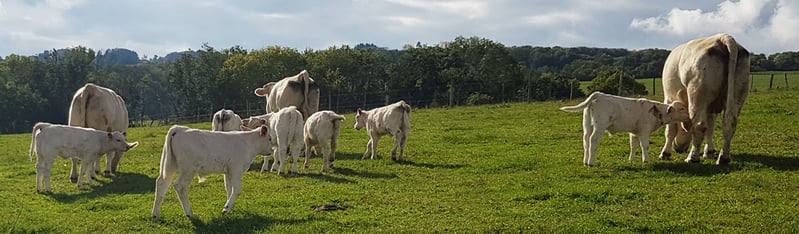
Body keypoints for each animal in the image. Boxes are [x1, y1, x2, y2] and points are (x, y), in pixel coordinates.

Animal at [560, 91, 692, 166]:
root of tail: (598, 94)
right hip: (599, 126)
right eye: (681, 108)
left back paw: (585, 161)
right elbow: (645, 145)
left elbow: (633, 145)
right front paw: (645, 160)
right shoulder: (644, 131)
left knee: (586, 141)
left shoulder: (634, 132)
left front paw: (631, 160)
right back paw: (591, 162)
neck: (657, 111)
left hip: (587, 125)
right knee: (593, 140)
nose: (690, 114)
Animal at [656, 33, 752, 165]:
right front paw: (709, 152)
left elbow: (670, 130)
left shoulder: (669, 99)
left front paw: (665, 153)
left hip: (697, 96)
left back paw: (692, 157)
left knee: (699, 126)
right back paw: (723, 158)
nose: (679, 149)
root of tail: (723, 37)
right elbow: (710, 128)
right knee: (730, 124)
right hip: (737, 94)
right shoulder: (711, 108)